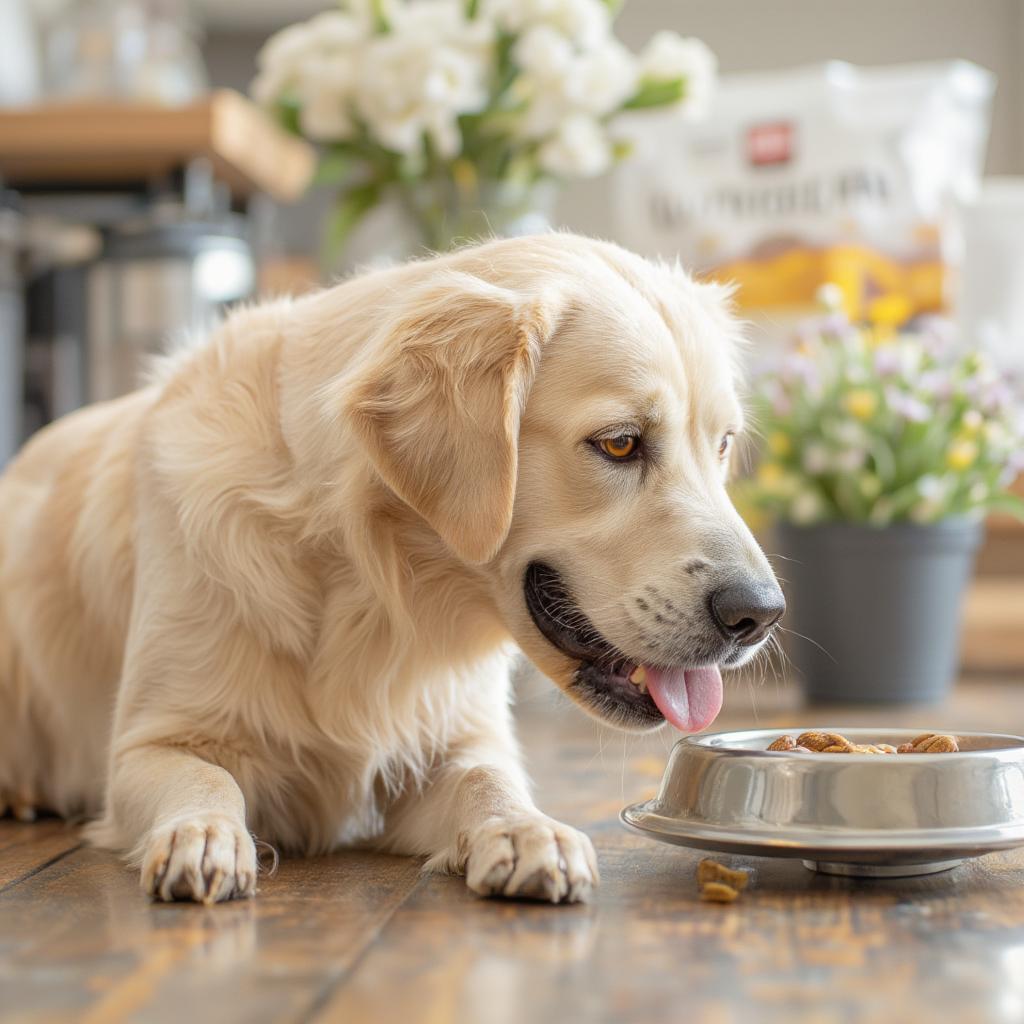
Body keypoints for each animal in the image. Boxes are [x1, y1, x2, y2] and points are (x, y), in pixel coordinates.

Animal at [0, 234, 782, 905]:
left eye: (722, 444)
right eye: (619, 443)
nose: (759, 614)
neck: (371, 579)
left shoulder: (455, 739)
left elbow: (488, 779)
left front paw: (525, 830)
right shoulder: (148, 744)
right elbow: (205, 779)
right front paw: (204, 835)